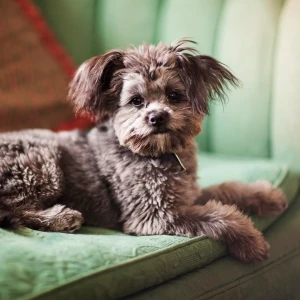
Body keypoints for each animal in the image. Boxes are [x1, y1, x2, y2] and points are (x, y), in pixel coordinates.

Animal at [0, 39, 288, 262]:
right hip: (41, 162)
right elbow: (219, 215)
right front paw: (251, 241)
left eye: (174, 96)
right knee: (15, 211)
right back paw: (62, 216)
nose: (157, 117)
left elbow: (226, 189)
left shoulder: (187, 195)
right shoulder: (154, 215)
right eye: (136, 101)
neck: (158, 155)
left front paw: (265, 195)